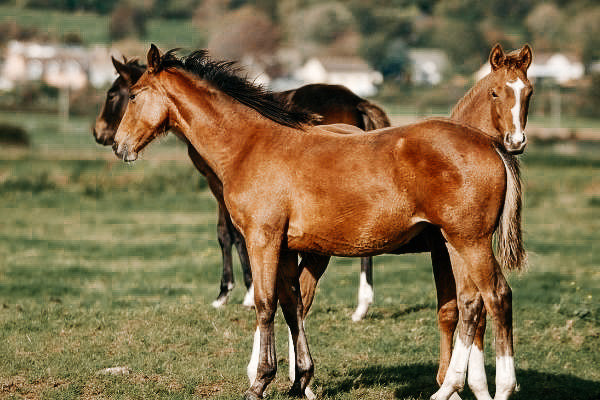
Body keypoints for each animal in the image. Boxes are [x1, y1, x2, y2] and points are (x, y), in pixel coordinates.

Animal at [92, 57, 390, 310]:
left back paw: (362, 304)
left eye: (114, 94)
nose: (101, 134)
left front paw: (231, 293)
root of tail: (356, 101)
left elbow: (227, 234)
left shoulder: (216, 184)